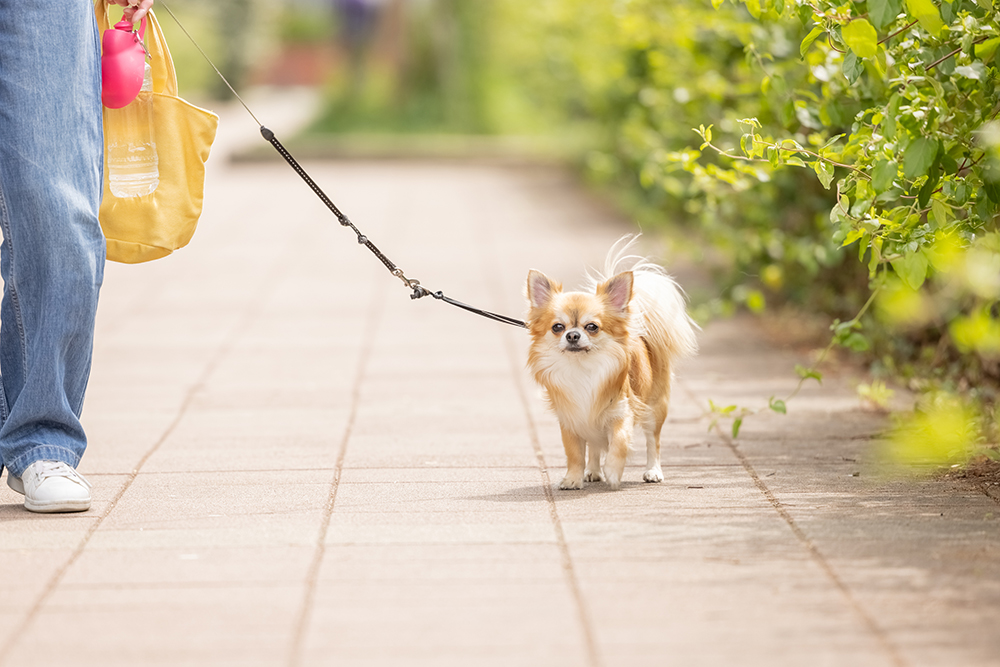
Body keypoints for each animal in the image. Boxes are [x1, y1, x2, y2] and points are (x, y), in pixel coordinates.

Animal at [528, 237, 700, 488]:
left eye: (592, 327)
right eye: (557, 327)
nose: (572, 335)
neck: (583, 369)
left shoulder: (621, 412)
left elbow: (619, 443)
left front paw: (612, 471)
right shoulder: (571, 419)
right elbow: (574, 453)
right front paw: (573, 478)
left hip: (654, 408)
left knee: (653, 441)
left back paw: (653, 471)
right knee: (594, 446)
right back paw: (592, 471)